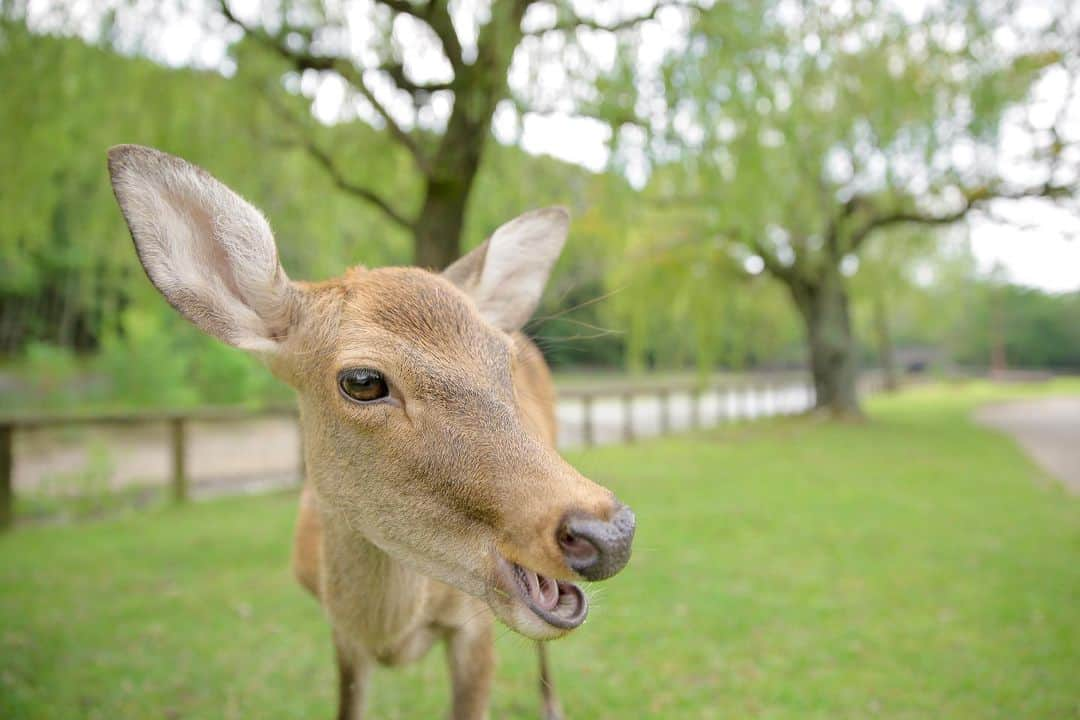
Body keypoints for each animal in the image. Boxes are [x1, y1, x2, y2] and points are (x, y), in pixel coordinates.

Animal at [107, 146, 630, 720]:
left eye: (504, 359)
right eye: (362, 381)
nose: (610, 532)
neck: (387, 632)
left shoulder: (473, 631)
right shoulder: (340, 634)